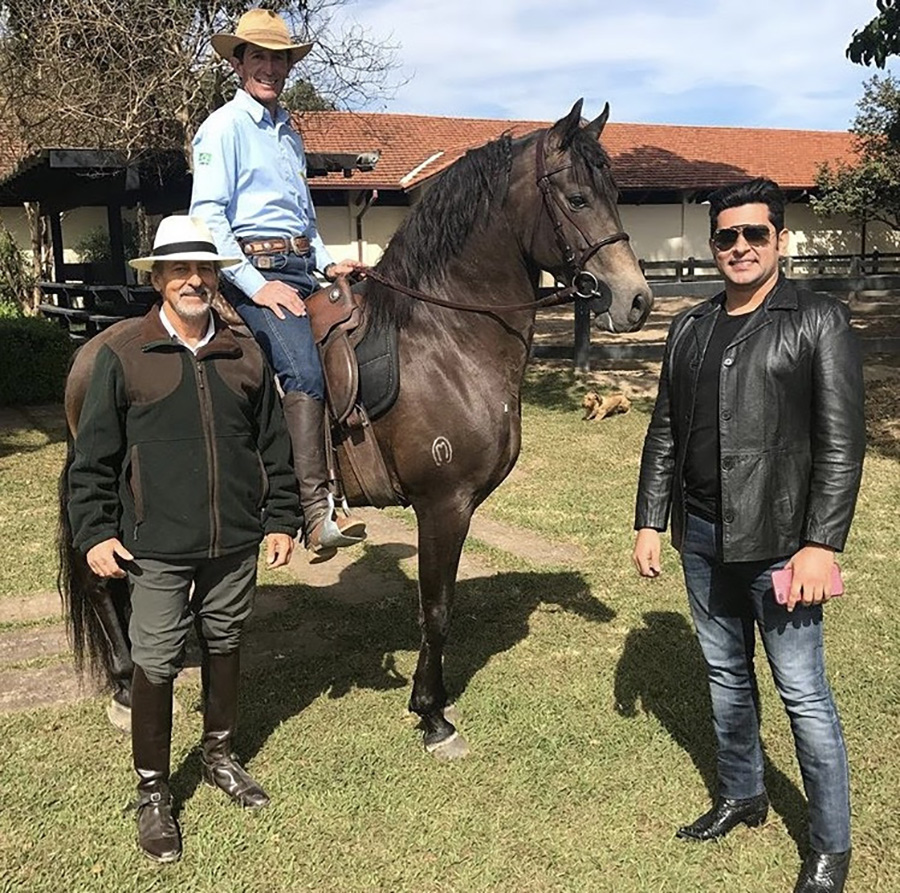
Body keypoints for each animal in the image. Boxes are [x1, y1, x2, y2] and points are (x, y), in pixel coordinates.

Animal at [58, 99, 653, 758]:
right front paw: (431, 714)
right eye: (576, 197)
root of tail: (93, 352)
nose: (636, 301)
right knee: (100, 581)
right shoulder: (444, 503)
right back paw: (122, 687)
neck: (445, 339)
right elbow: (437, 607)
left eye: (616, 193)